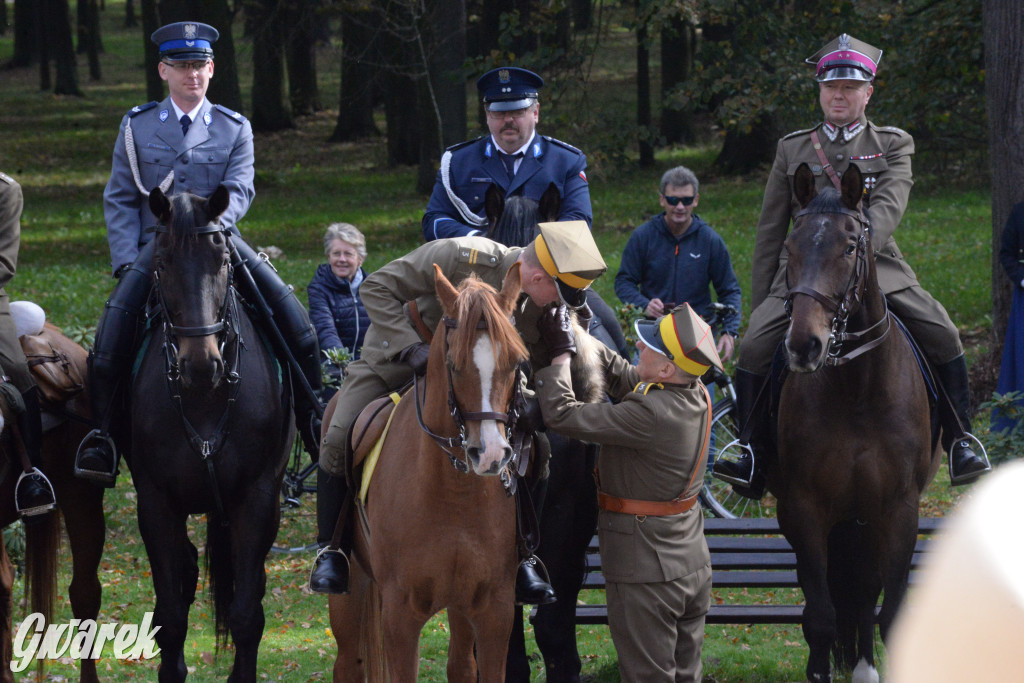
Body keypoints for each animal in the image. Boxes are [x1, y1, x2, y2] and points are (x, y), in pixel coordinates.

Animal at [131, 188, 292, 683]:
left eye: (222, 260)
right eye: (161, 261)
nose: (201, 365)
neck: (205, 399)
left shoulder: (257, 498)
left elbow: (245, 614)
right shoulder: (156, 502)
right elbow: (170, 614)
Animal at [331, 264, 528, 679]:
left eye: (516, 363)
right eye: (453, 364)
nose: (490, 455)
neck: (453, 494)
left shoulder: (494, 610)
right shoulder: (400, 616)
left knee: (460, 666)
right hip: (351, 587)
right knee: (348, 663)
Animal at [770, 162, 937, 679]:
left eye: (849, 246)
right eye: (790, 248)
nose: (804, 345)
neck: (856, 391)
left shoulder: (899, 509)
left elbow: (890, 612)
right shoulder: (804, 508)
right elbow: (822, 617)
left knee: (864, 592)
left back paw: (864, 665)